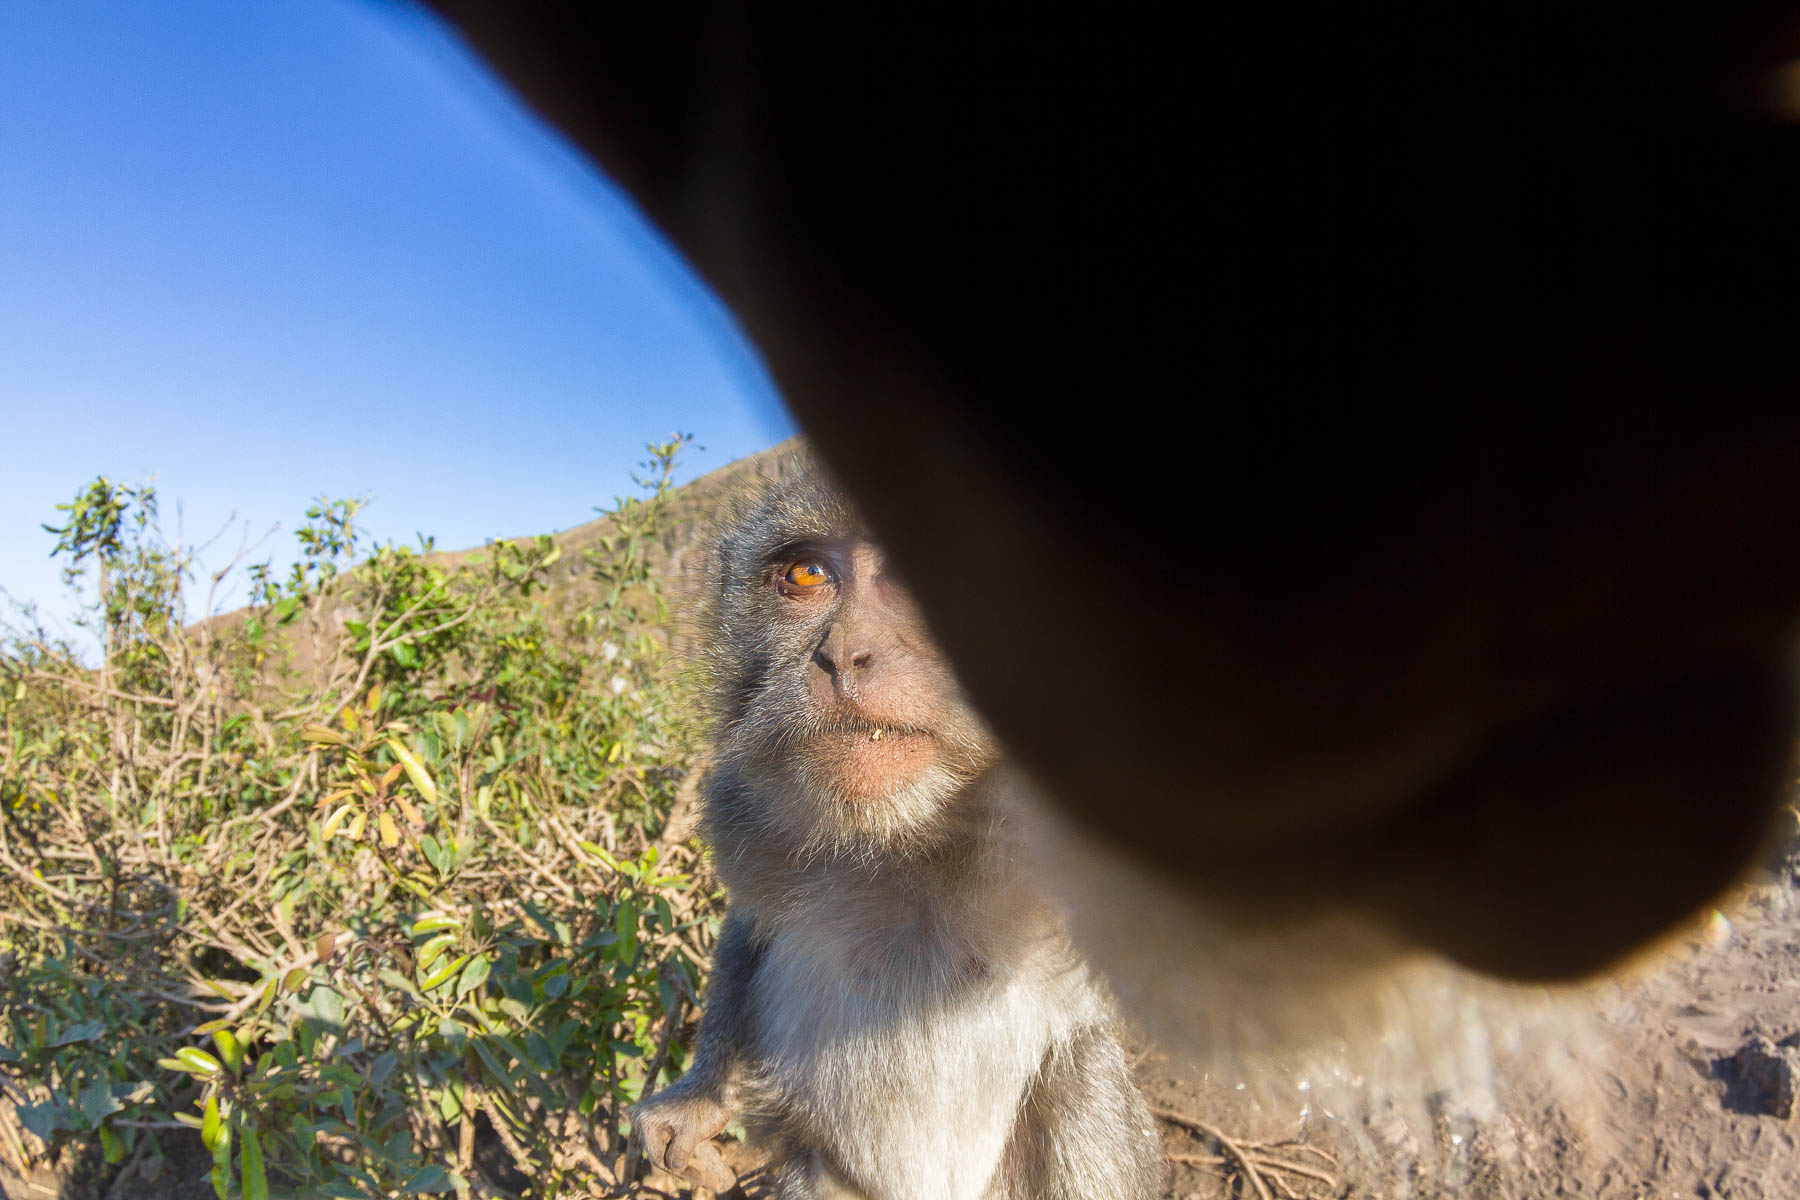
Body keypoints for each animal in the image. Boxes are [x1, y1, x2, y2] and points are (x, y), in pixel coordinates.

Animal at [628, 469, 1165, 1200]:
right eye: (806, 572)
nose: (844, 656)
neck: (906, 837)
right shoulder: (744, 805)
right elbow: (752, 924)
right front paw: (699, 1098)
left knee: (1080, 1078)